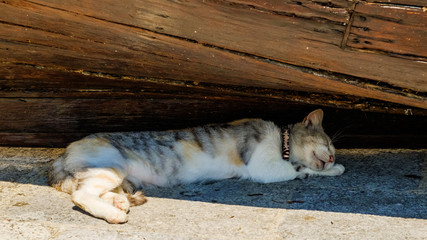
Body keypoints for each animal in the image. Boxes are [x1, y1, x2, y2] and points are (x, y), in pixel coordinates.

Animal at [49, 109, 344, 223]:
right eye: (328, 144)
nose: (331, 157)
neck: (281, 141)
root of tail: (63, 154)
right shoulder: (264, 167)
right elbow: (301, 169)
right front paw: (335, 169)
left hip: (124, 178)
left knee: (94, 191)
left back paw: (118, 203)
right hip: (109, 168)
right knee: (80, 194)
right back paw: (113, 213)